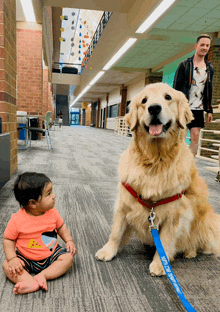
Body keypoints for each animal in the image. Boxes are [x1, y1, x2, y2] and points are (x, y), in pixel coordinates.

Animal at [95, 82, 220, 276]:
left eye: (168, 97)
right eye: (144, 101)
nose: (154, 108)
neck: (155, 160)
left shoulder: (175, 213)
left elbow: (166, 239)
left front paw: (161, 264)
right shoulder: (124, 202)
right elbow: (116, 232)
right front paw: (108, 251)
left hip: (206, 221)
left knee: (196, 242)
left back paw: (189, 252)